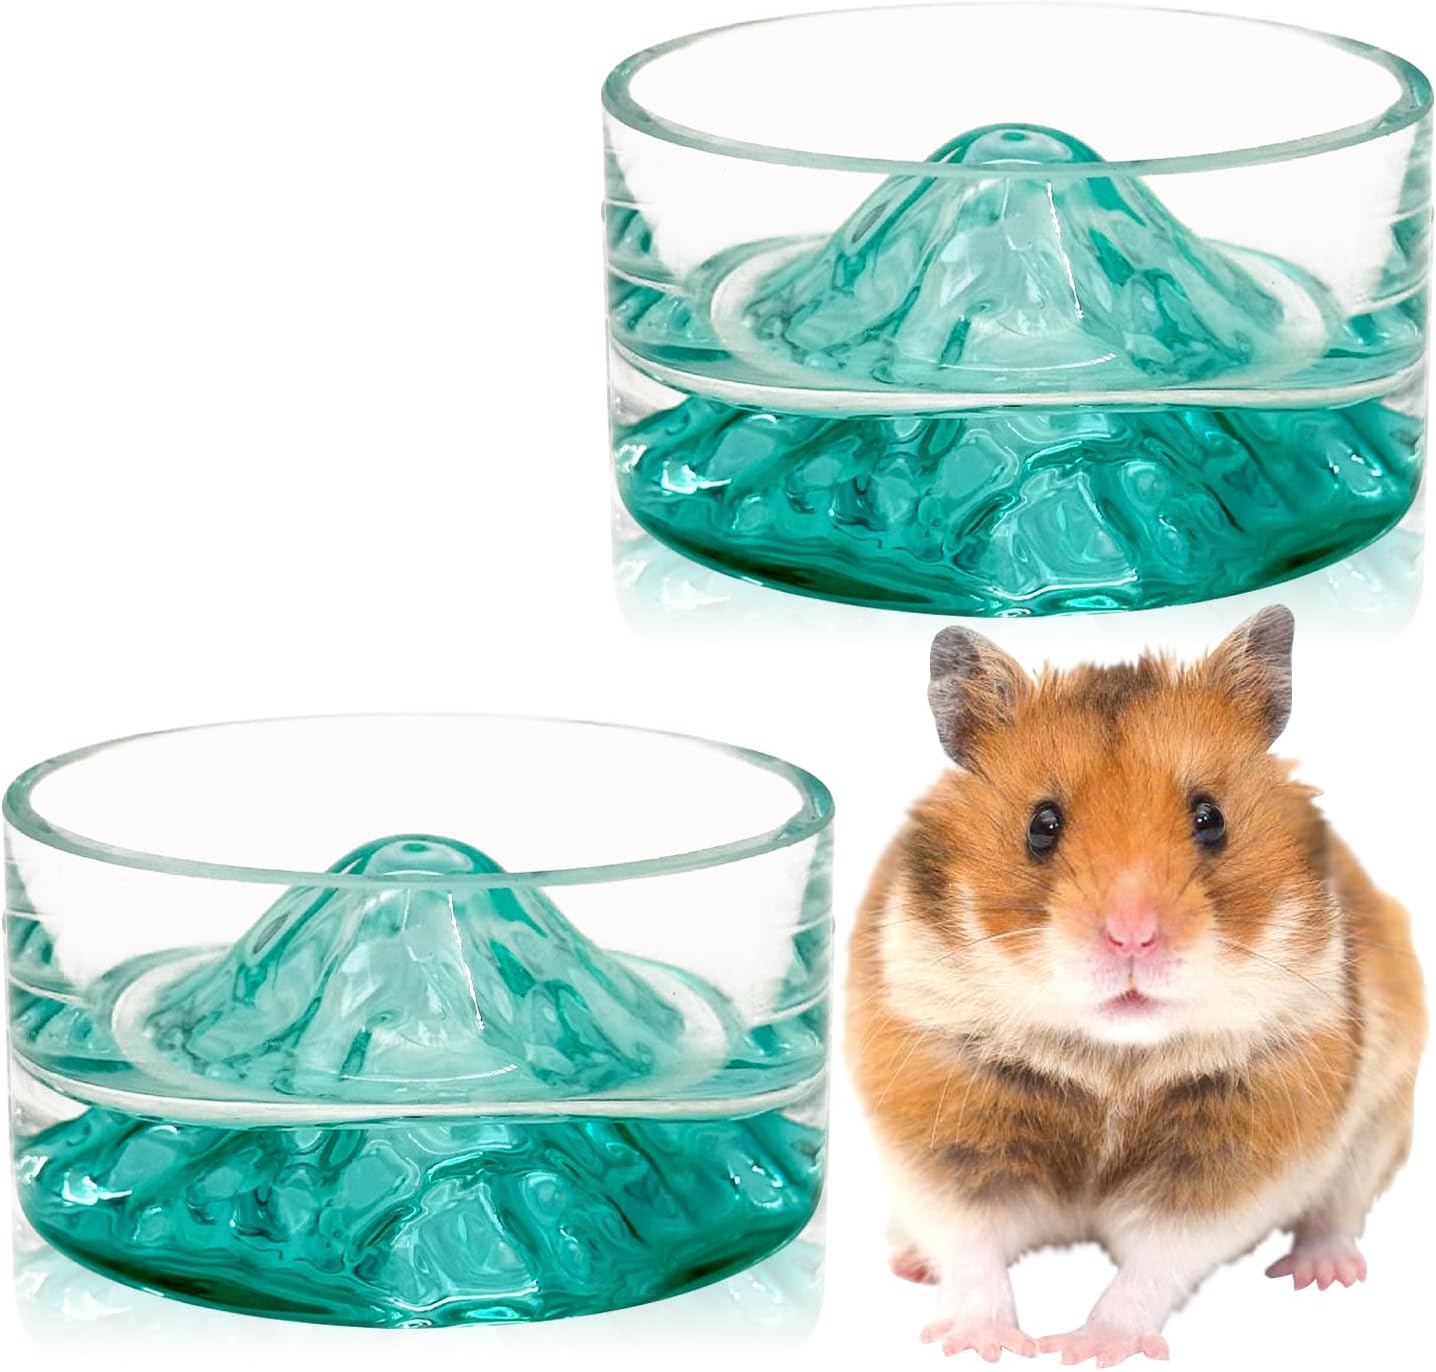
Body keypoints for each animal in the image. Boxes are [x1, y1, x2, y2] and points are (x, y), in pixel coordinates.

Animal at [846, 606, 1425, 1366]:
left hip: (1382, 1120)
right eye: (1042, 824)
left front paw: (1085, 1348)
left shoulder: (1235, 1152)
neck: (1111, 1060)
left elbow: (1156, 1262)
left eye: (1210, 818)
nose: (1132, 938)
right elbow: (971, 1248)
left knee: (1338, 1210)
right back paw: (907, 1260)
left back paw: (1323, 1274)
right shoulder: (939, 1128)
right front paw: (982, 1345)